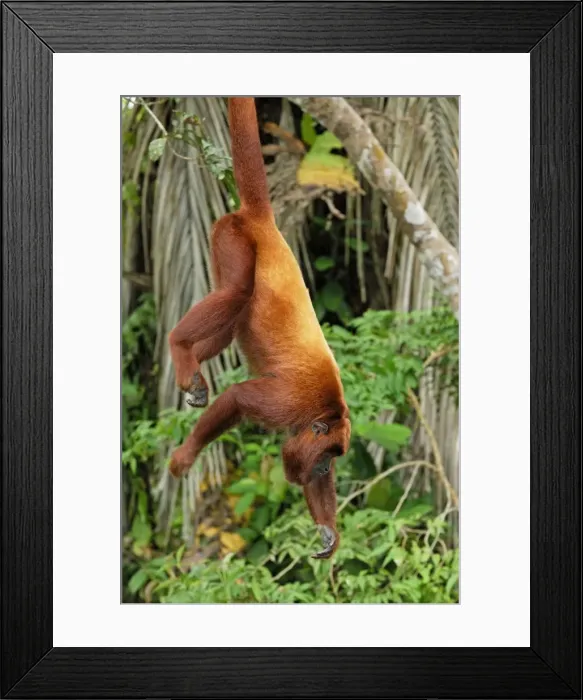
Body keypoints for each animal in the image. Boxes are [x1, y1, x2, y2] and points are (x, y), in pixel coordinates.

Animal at [168, 97, 351, 559]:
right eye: (327, 457)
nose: (324, 469)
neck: (326, 410)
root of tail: (265, 225)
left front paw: (327, 529)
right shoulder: (289, 403)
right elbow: (238, 397)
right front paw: (187, 455)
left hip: (222, 244)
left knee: (229, 320)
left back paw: (191, 362)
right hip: (233, 237)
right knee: (236, 290)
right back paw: (179, 346)